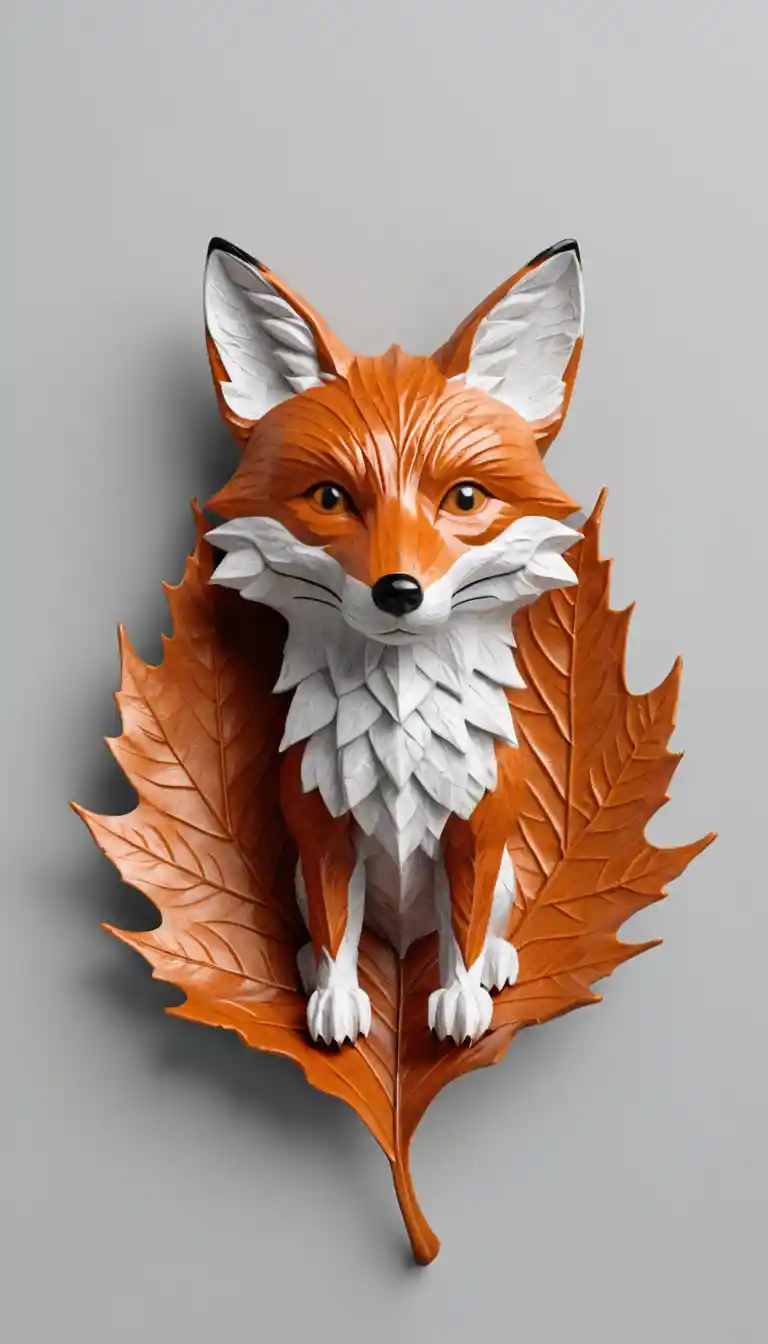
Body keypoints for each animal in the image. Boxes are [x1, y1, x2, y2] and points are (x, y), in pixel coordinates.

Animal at [203, 236, 584, 1048]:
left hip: (507, 868)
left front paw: (461, 1000)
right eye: (329, 498)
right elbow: (336, 930)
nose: (398, 591)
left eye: (465, 498)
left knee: (474, 928)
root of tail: (404, 940)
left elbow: (462, 932)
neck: (402, 720)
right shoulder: (321, 832)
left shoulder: (476, 832)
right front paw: (336, 1000)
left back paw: (496, 964)